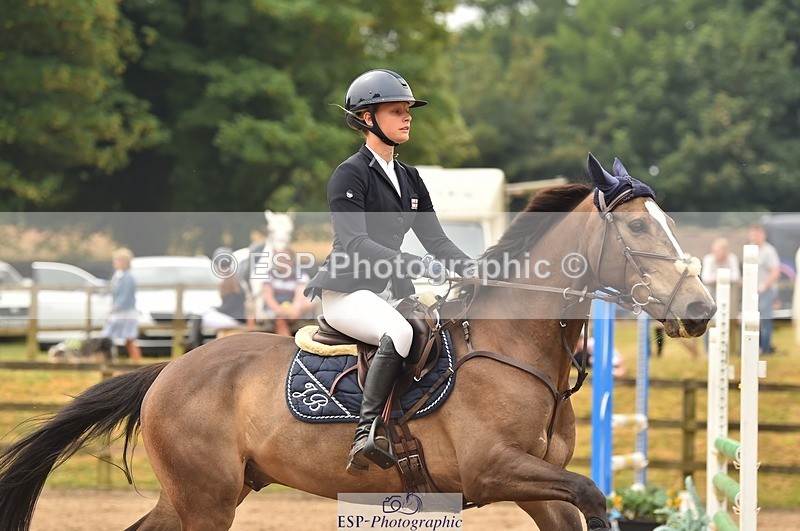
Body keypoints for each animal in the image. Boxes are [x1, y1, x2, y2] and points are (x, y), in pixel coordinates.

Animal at [0, 154, 715, 531]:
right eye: (640, 233)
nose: (702, 310)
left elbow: (582, 499)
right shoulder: (496, 468)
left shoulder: (540, 486)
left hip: (207, 492)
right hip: (204, 498)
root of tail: (168, 371)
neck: (516, 348)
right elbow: (594, 493)